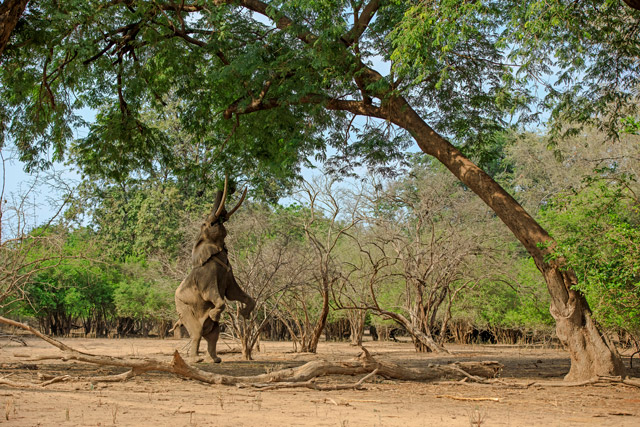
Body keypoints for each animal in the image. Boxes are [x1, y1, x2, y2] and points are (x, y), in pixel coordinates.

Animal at [175, 179, 255, 363]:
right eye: (209, 224)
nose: (221, 217)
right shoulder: (207, 275)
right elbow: (214, 296)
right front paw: (213, 314)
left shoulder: (228, 271)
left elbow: (234, 293)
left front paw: (244, 314)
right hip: (183, 308)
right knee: (197, 333)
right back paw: (196, 360)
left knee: (213, 335)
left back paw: (215, 360)